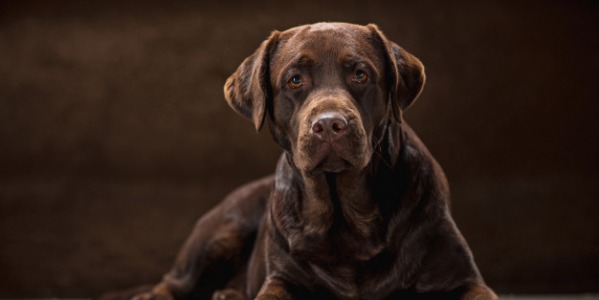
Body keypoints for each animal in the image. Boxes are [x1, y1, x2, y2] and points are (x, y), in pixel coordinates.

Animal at [130, 21, 496, 300]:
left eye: (360, 74)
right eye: (295, 80)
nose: (329, 124)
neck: (350, 223)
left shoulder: (463, 278)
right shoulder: (281, 279)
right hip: (221, 230)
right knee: (171, 284)